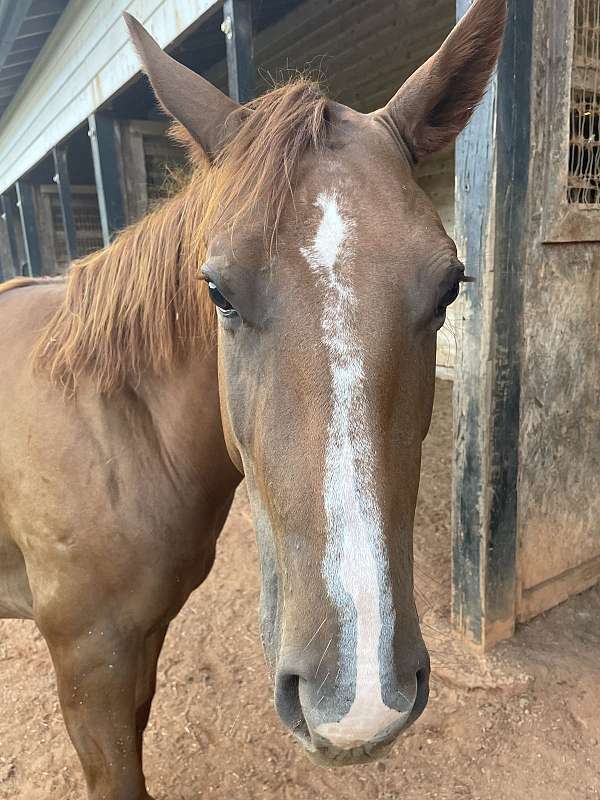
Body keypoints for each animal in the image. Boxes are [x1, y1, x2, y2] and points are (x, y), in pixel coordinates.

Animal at [0, 1, 506, 797]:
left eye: (449, 287)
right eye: (218, 292)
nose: (358, 701)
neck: (110, 429)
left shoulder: (138, 649)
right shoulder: (89, 664)